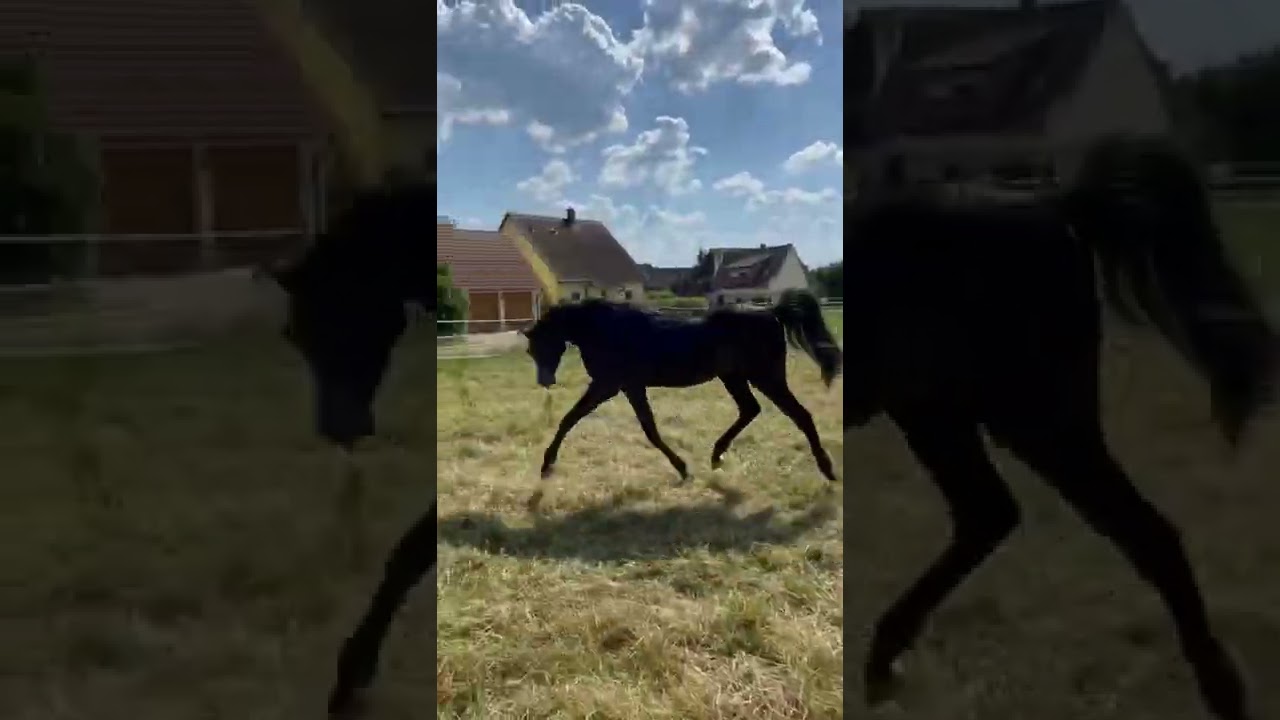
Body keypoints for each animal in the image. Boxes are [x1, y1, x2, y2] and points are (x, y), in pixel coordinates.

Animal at [520, 289, 844, 486]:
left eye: (540, 345)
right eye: (530, 352)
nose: (544, 381)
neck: (604, 328)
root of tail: (772, 311)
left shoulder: (610, 385)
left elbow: (572, 418)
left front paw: (546, 465)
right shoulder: (627, 386)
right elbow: (646, 427)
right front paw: (683, 467)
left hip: (766, 377)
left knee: (800, 415)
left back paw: (828, 470)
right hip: (735, 378)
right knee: (750, 409)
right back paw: (716, 455)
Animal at [845, 134, 1277, 720]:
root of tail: (1055, 204)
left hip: (1034, 419)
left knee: (1144, 532)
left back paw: (1223, 692)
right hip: (939, 411)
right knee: (988, 513)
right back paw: (883, 660)